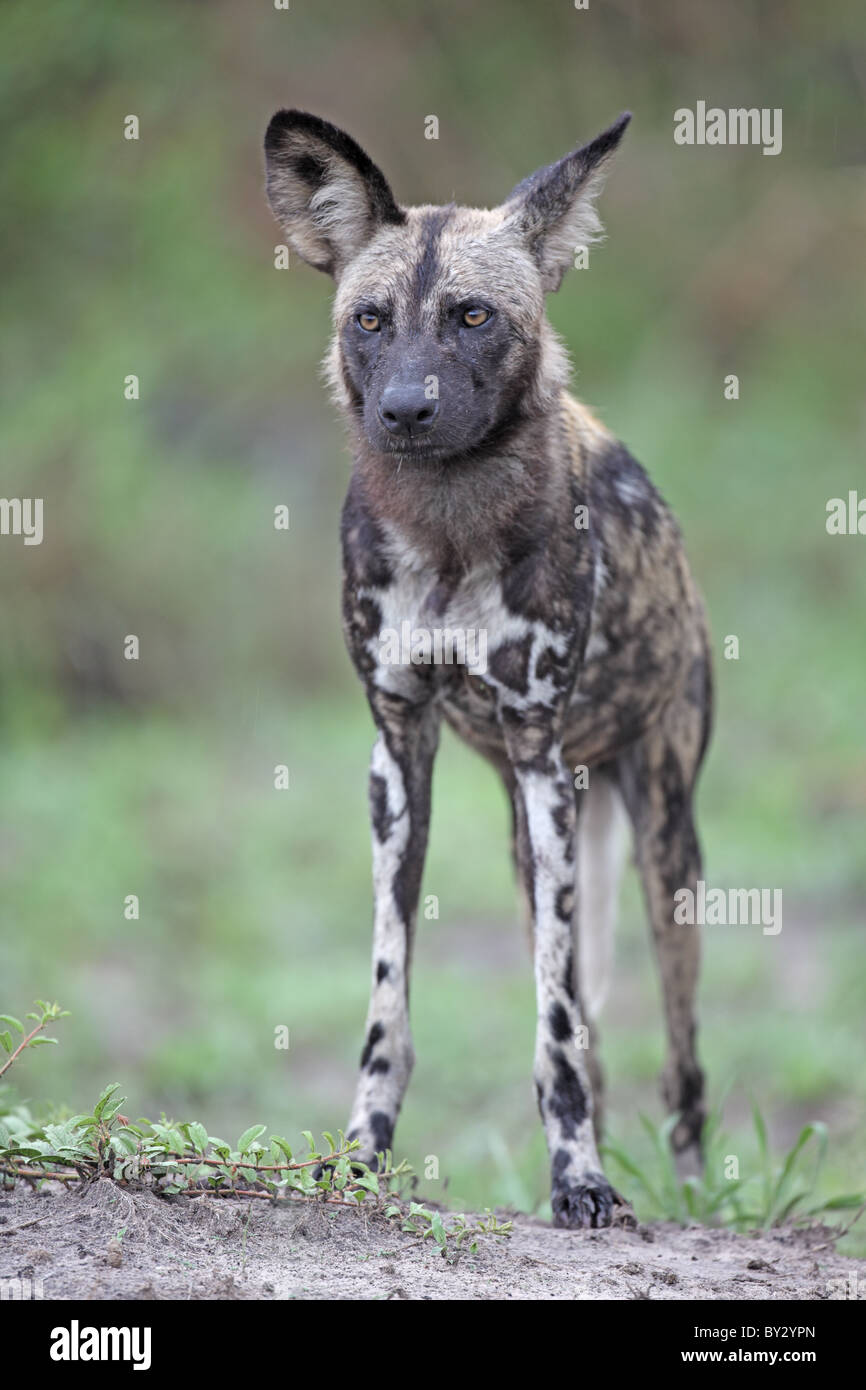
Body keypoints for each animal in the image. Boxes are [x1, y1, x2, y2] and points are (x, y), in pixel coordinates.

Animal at [262, 108, 711, 1228]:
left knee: (680, 1066)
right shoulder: (397, 759)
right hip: (528, 839)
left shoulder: (543, 761)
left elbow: (553, 1033)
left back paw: (694, 1200)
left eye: (472, 316)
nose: (406, 410)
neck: (449, 526)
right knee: (588, 1027)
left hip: (659, 848)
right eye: (370, 320)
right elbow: (392, 1005)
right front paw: (361, 1153)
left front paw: (580, 1180)